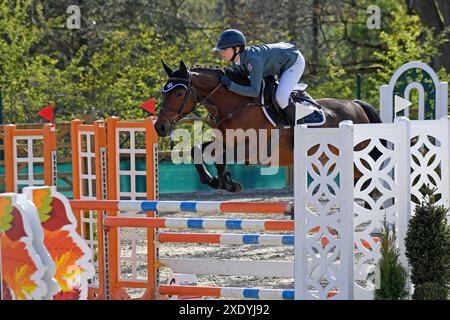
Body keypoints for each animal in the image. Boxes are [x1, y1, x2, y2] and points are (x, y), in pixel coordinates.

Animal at [154, 60, 380, 192]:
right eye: (164, 91)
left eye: (179, 93)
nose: (160, 127)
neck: (237, 104)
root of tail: (356, 105)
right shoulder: (225, 141)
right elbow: (197, 151)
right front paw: (215, 181)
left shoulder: (253, 149)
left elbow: (220, 157)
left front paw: (227, 182)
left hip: (358, 161)